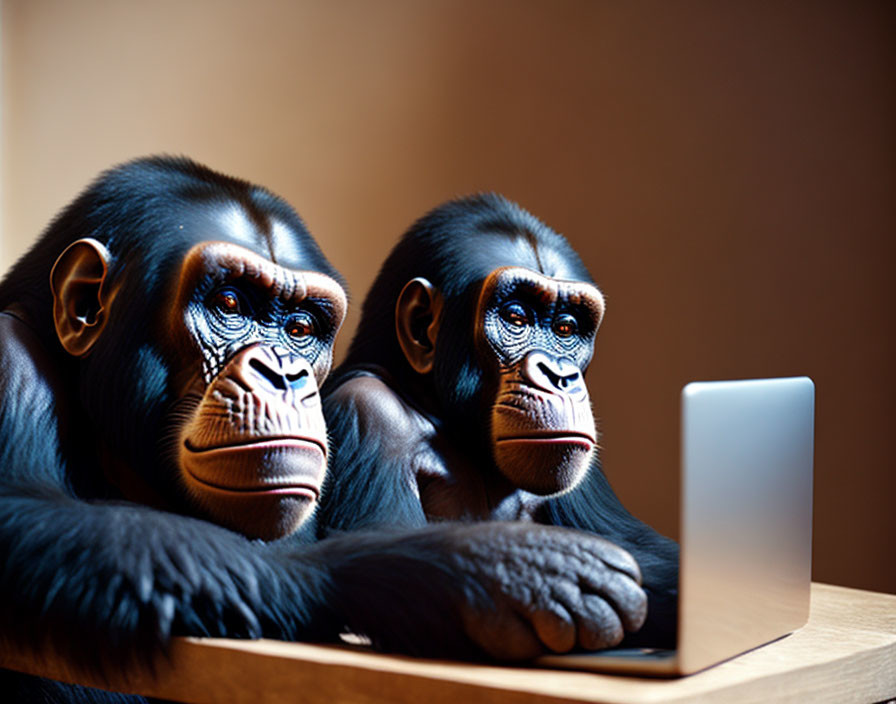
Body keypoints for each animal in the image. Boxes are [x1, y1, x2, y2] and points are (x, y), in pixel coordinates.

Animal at [322, 192, 680, 648]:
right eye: (516, 318)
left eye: (566, 329)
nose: (561, 375)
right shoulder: (367, 414)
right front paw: (534, 574)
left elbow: (644, 547)